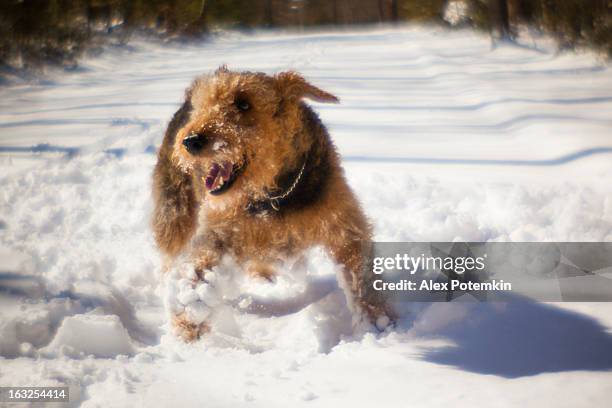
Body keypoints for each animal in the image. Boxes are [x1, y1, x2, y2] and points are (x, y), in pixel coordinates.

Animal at [153, 67, 392, 342]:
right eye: (204, 104)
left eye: (243, 103)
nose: (191, 141)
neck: (274, 196)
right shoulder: (219, 231)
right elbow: (200, 270)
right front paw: (189, 320)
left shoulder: (343, 225)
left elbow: (360, 277)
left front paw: (378, 323)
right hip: (174, 213)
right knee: (169, 257)